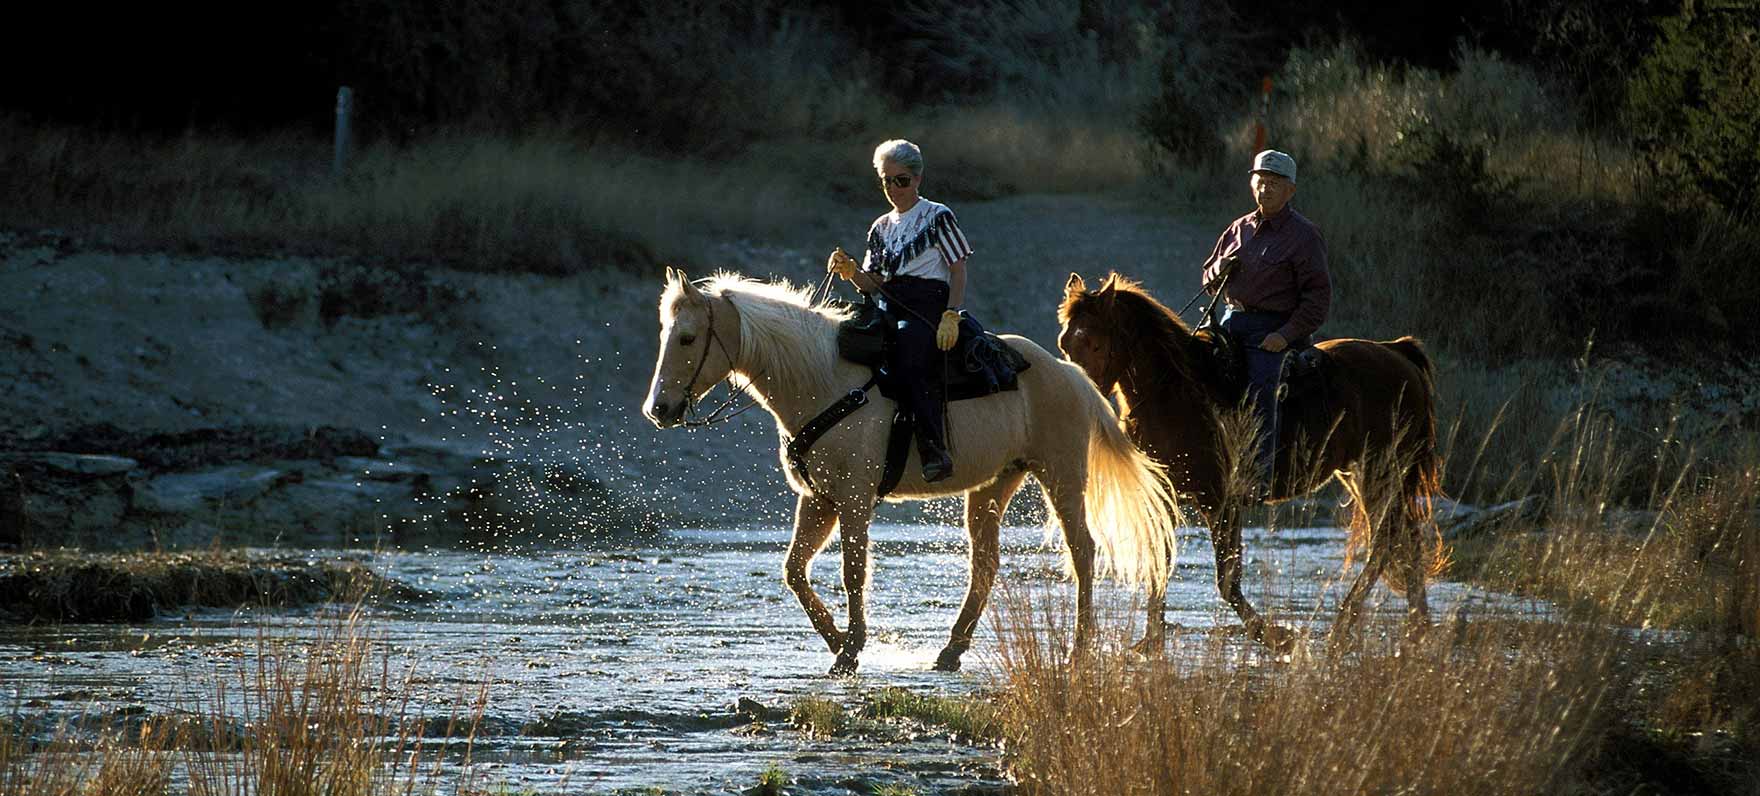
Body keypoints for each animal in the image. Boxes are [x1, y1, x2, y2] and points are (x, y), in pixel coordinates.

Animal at [640, 267, 1175, 672]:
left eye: (688, 337)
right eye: (664, 334)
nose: (658, 410)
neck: (824, 381)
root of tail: (1071, 374)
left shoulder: (855, 499)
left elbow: (854, 572)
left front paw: (850, 650)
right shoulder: (818, 500)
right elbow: (794, 571)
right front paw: (837, 642)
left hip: (1062, 476)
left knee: (1082, 552)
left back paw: (1078, 649)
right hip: (994, 485)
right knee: (985, 564)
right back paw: (952, 649)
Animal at [1056, 271, 1443, 651]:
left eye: (1095, 343)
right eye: (1065, 344)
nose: (1077, 392)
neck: (1176, 395)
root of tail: (1397, 352)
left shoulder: (1219, 500)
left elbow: (1227, 579)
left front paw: (1276, 636)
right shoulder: (1163, 497)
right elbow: (1159, 562)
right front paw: (1151, 641)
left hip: (1382, 471)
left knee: (1387, 542)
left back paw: (1343, 628)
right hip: (1364, 474)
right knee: (1406, 540)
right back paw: (1417, 628)